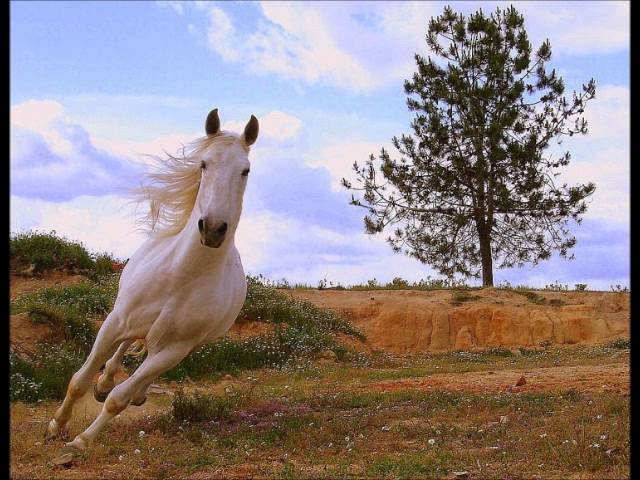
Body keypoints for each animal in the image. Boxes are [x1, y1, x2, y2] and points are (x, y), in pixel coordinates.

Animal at [44, 108, 260, 458]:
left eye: (245, 170)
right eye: (203, 164)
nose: (213, 229)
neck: (181, 276)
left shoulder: (175, 349)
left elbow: (119, 399)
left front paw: (80, 442)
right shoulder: (115, 322)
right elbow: (79, 380)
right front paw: (56, 426)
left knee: (142, 367)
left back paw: (131, 392)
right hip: (128, 320)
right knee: (123, 348)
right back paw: (103, 382)